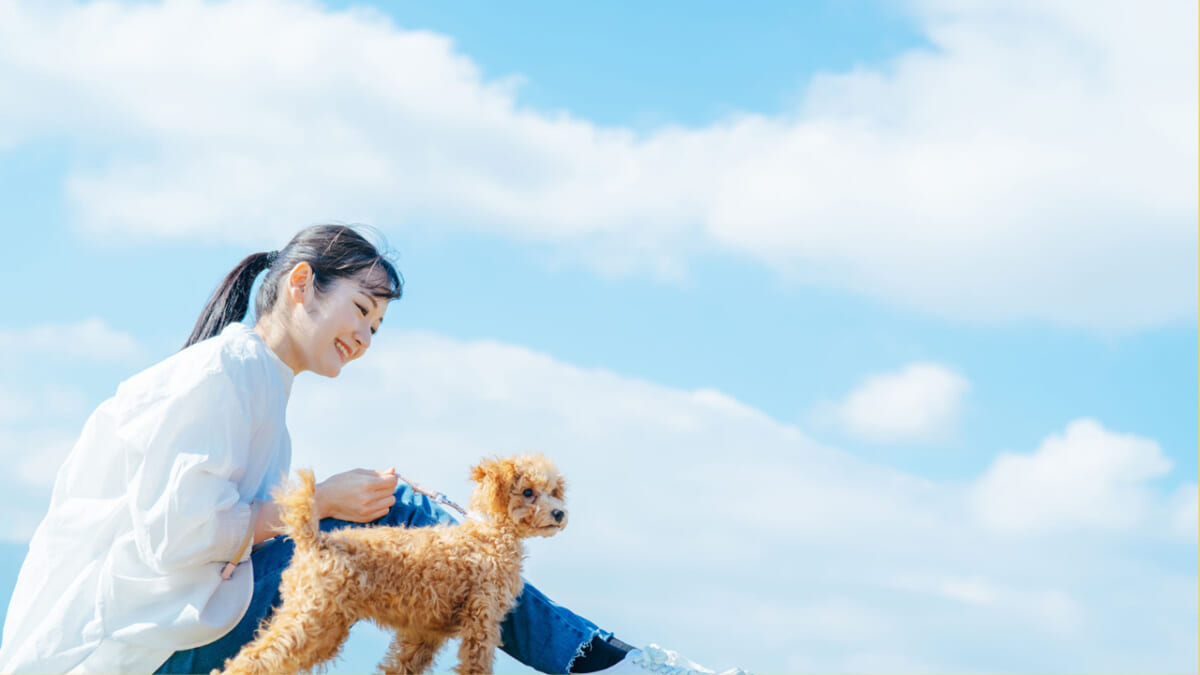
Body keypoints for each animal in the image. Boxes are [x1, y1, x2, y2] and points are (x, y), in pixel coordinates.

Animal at [219, 451, 566, 672]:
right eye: (528, 492)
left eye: (554, 491)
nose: (560, 513)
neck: (490, 535)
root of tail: (315, 542)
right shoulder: (482, 619)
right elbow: (475, 666)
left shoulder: (425, 632)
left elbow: (402, 666)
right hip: (310, 617)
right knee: (251, 660)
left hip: (325, 628)